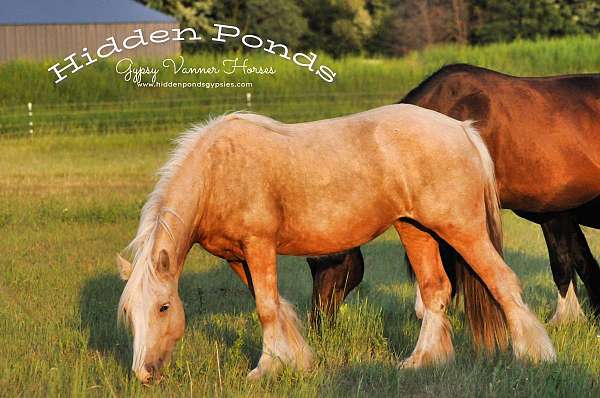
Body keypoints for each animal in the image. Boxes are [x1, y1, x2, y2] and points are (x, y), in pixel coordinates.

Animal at [115, 105, 556, 382]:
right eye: (130, 313)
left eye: (164, 307)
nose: (144, 374)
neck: (218, 171)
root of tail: (462, 129)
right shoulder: (237, 258)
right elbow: (275, 305)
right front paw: (296, 361)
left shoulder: (258, 246)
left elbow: (266, 309)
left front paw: (266, 369)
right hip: (415, 228)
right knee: (436, 291)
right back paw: (422, 361)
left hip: (461, 228)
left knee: (502, 281)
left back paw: (535, 355)